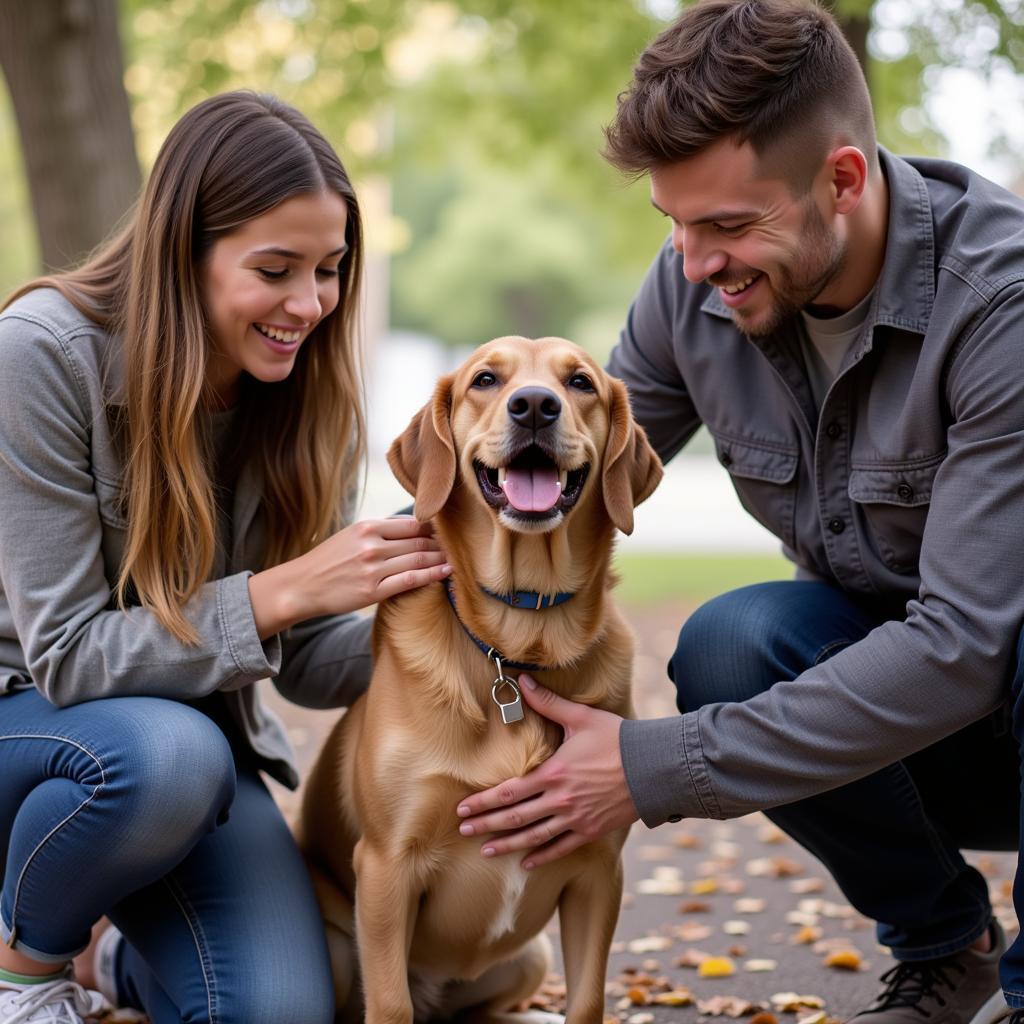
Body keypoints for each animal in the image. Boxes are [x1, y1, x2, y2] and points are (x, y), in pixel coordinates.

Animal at [296, 337, 663, 1024]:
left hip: (531, 957)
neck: (518, 644)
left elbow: (588, 1001)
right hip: (333, 948)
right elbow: (390, 1005)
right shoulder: (385, 866)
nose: (535, 406)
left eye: (580, 382)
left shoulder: (599, 867)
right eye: (486, 380)